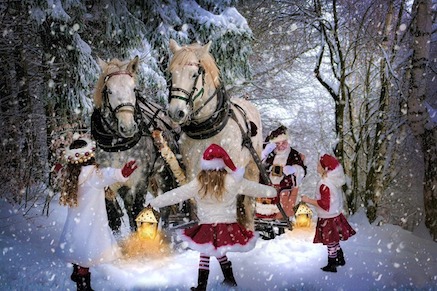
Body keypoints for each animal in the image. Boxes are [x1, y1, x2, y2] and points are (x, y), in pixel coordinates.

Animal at [167, 40, 262, 229]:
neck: (208, 128)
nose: (176, 112)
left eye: (194, 74)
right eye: (171, 74)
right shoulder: (192, 171)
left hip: (252, 168)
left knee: (248, 206)